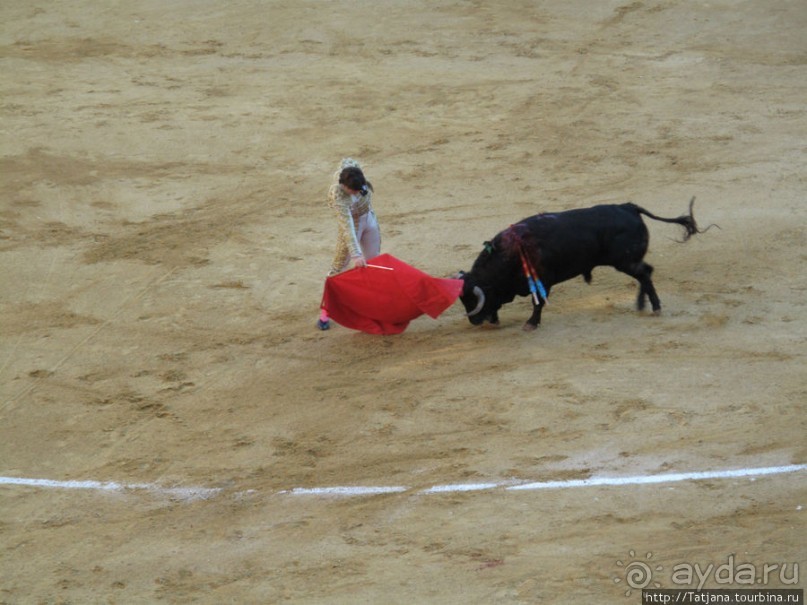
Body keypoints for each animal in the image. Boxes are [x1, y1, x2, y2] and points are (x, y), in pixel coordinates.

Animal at [458, 198, 712, 330]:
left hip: (624, 261)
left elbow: (536, 304)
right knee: (646, 272)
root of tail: (628, 207)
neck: (508, 255)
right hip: (628, 261)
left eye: (473, 300)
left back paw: (656, 307)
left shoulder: (543, 281)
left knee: (645, 275)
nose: (474, 321)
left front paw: (531, 323)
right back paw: (642, 304)